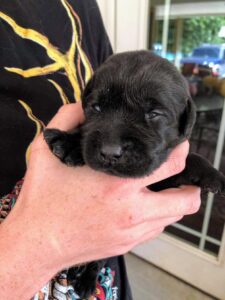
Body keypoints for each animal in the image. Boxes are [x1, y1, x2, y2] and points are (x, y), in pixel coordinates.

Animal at [44, 51, 225, 298]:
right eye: (96, 108)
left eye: (154, 114)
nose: (110, 152)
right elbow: (82, 132)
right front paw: (68, 142)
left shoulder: (162, 179)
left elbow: (190, 160)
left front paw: (212, 174)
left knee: (96, 260)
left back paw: (84, 279)